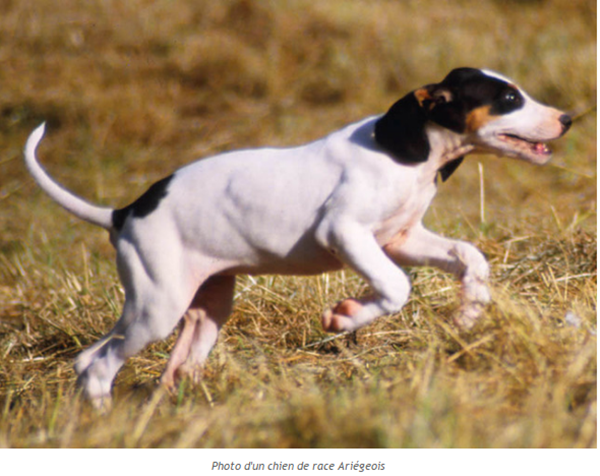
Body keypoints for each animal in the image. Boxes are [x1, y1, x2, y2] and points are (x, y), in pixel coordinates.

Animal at [23, 69, 572, 408]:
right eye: (508, 99)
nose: (567, 118)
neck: (412, 151)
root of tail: (126, 212)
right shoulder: (345, 232)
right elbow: (396, 287)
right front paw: (346, 317)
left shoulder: (400, 238)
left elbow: (470, 256)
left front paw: (469, 313)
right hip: (158, 306)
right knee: (98, 364)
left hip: (205, 305)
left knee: (146, 364)